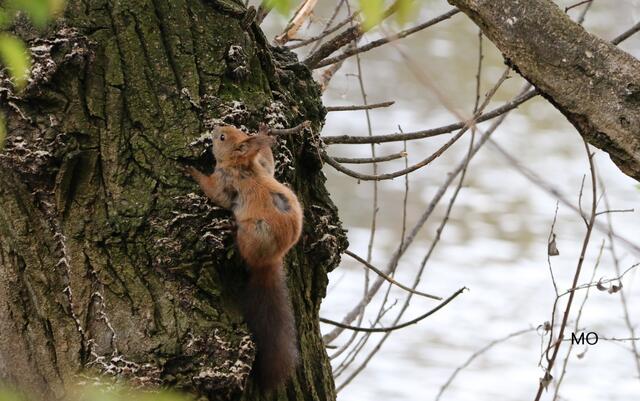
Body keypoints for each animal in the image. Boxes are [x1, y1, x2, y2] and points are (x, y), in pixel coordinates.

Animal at [186, 125, 302, 391]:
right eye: (234, 130)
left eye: (222, 137)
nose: (215, 127)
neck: (242, 165)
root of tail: (270, 259)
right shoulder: (263, 166)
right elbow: (270, 163)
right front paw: (264, 132)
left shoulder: (225, 182)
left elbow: (215, 193)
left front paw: (192, 171)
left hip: (253, 232)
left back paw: (231, 231)